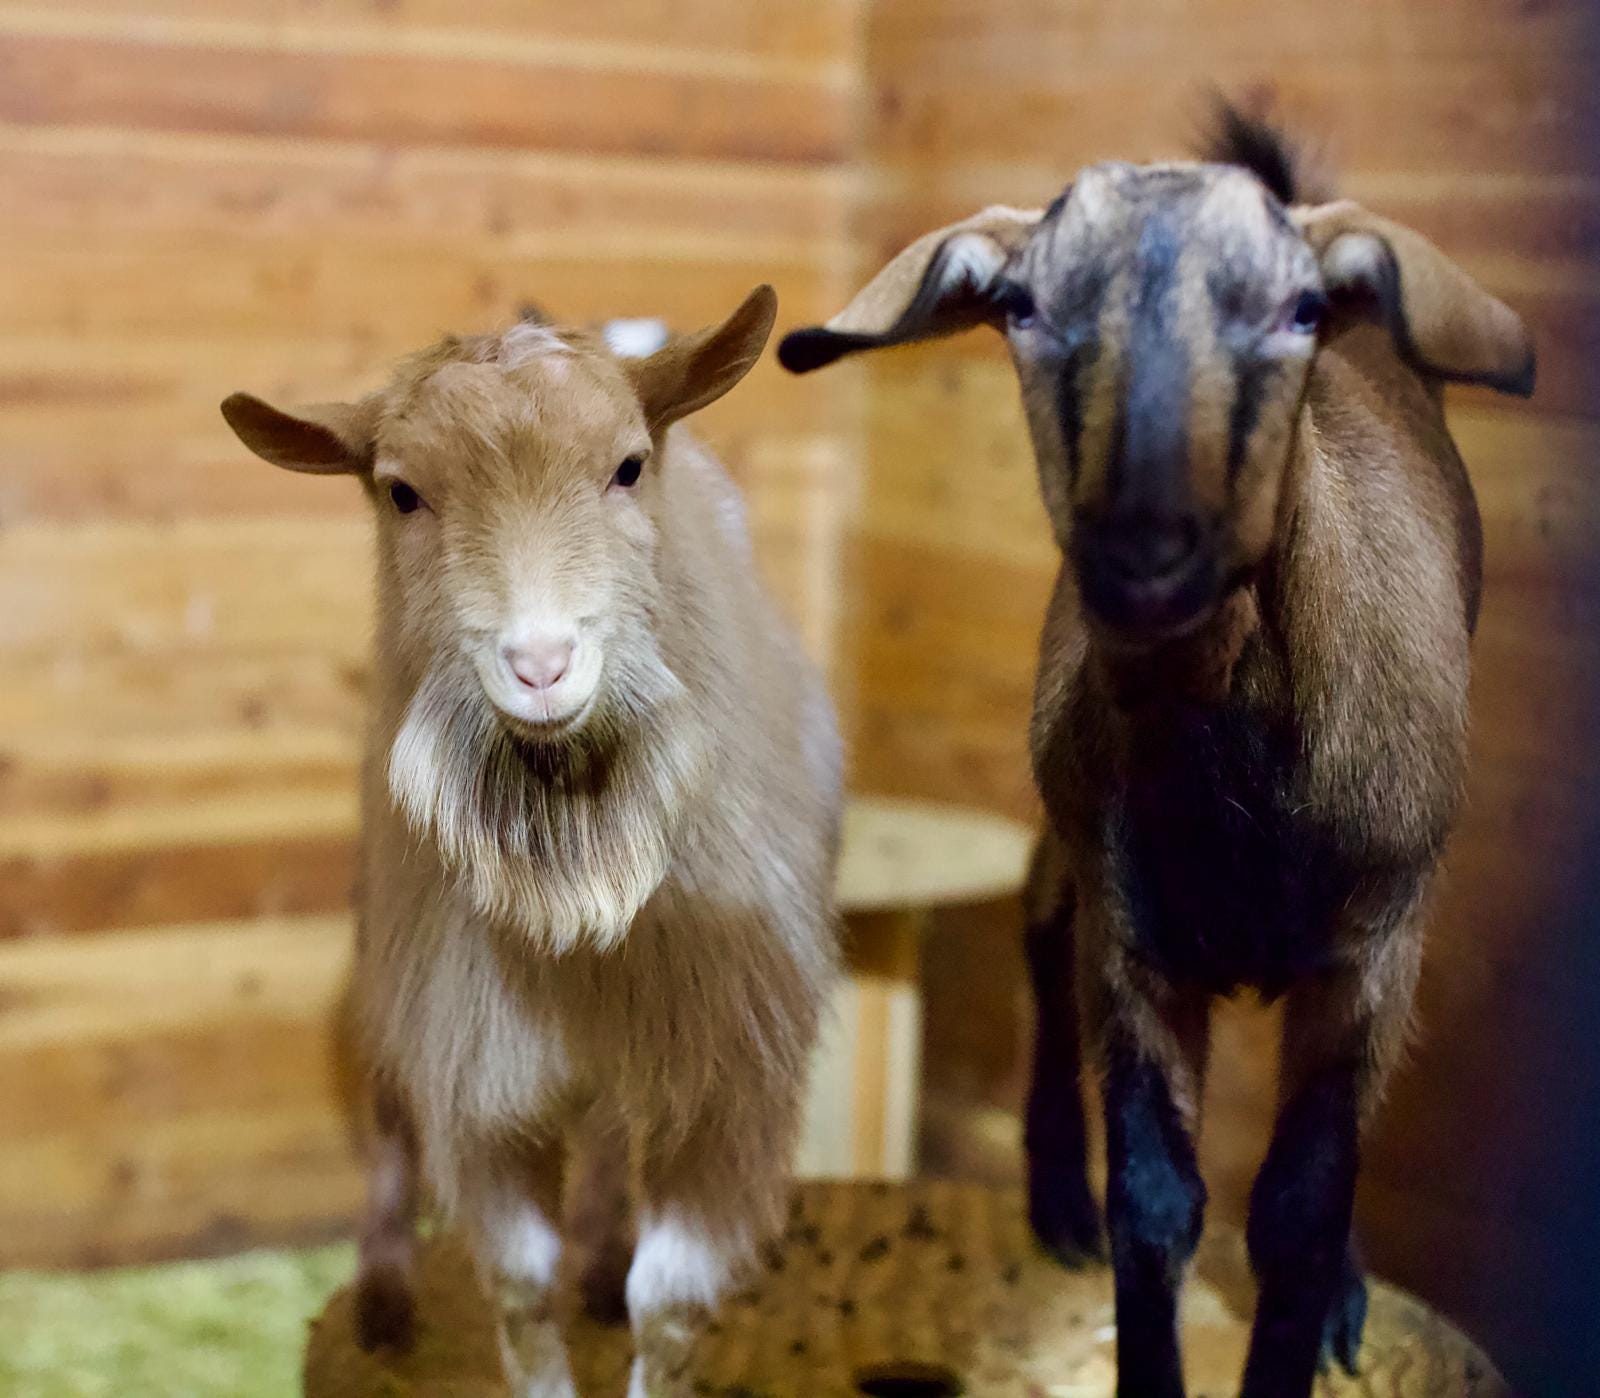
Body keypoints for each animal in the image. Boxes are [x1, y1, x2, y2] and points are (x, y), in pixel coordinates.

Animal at [221, 286, 842, 1398]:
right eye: (403, 494)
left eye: (629, 466)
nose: (542, 665)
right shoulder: (473, 1064)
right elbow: (517, 1288)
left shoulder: (727, 1073)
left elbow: (666, 1305)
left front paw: (620, 1298)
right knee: (391, 1130)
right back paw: (383, 1304)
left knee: (601, 1135)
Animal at [779, 110, 1533, 1398]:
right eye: (1021, 307)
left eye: (1297, 309)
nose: (1143, 547)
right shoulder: (1132, 936)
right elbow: (1153, 1204)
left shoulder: (1374, 942)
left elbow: (1298, 1210)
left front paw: (1313, 1320)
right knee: (1039, 927)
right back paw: (1051, 1201)